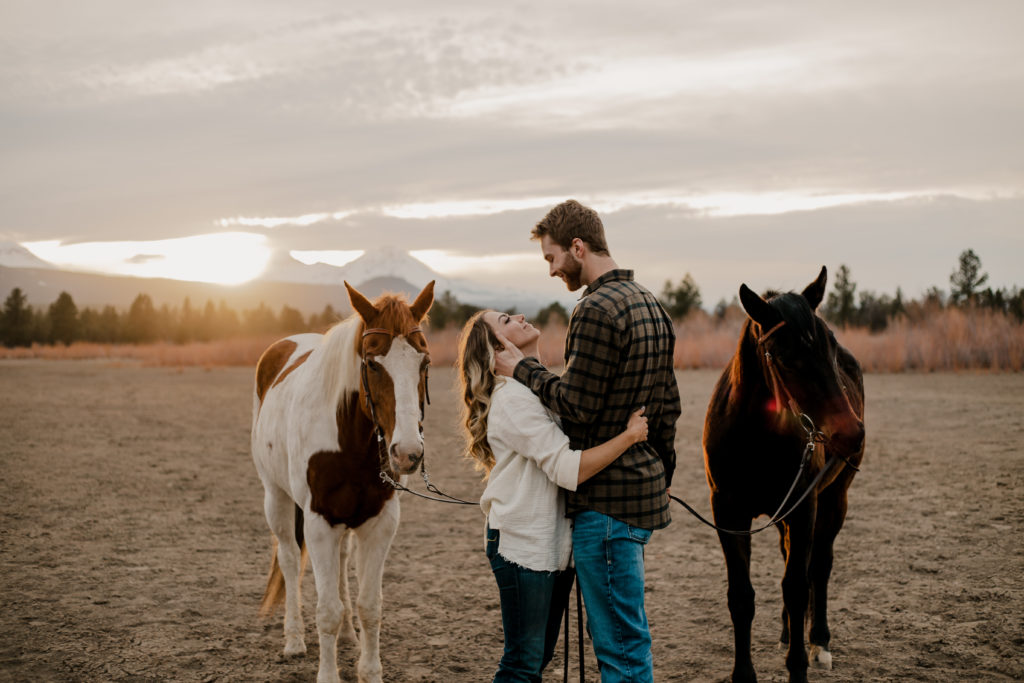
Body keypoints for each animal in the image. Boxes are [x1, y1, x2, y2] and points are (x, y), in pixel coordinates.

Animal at [256, 280, 436, 683]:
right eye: (371, 363)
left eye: (425, 362)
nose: (407, 453)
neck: (349, 441)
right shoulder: (319, 521)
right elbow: (327, 611)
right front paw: (328, 674)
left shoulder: (379, 523)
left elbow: (370, 606)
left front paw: (370, 671)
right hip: (276, 497)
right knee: (289, 560)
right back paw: (294, 639)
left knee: (339, 565)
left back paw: (350, 636)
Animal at [704, 268, 864, 683]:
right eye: (783, 357)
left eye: (830, 345)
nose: (851, 433)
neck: (755, 438)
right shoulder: (728, 513)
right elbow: (741, 596)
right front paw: (744, 673)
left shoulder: (804, 506)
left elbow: (797, 586)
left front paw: (799, 667)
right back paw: (786, 632)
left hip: (834, 499)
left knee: (819, 566)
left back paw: (818, 640)